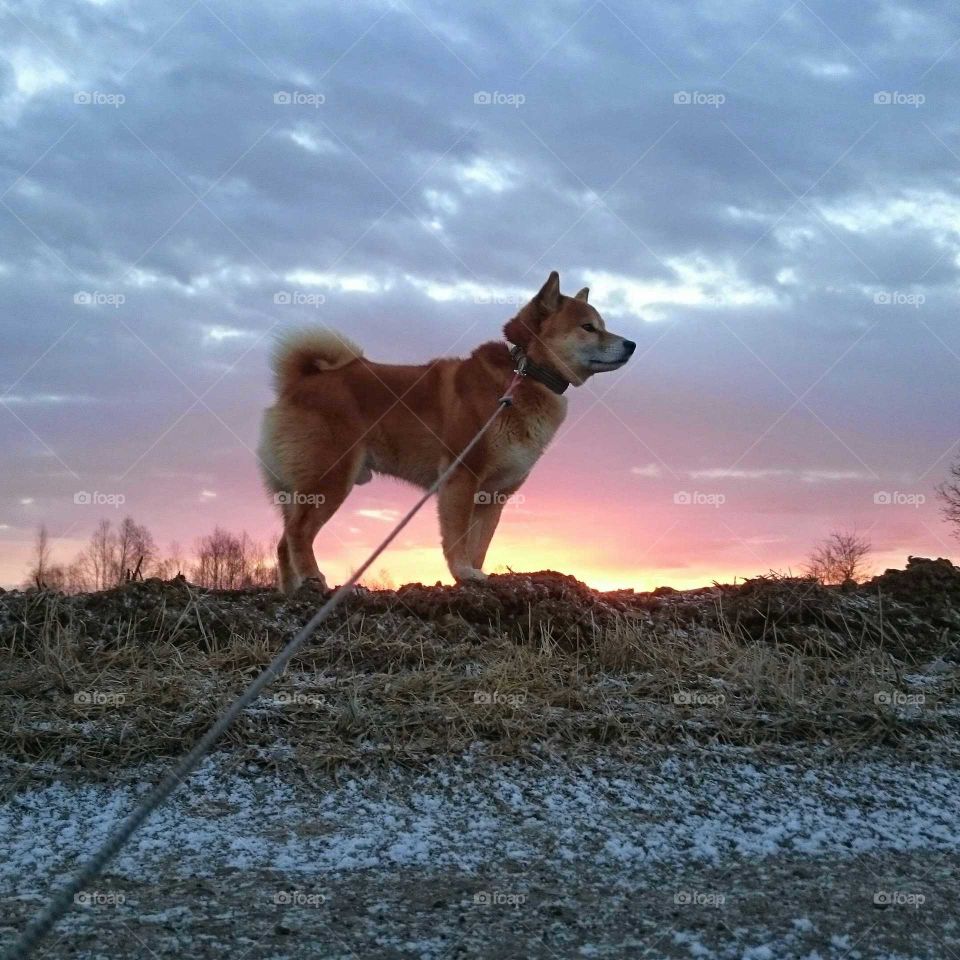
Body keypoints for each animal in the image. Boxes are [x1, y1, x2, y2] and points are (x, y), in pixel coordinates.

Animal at [260, 270, 636, 592]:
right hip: (331, 479)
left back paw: (292, 590)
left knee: (283, 542)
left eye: (603, 325)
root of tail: (300, 382)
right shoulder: (462, 477)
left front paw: (477, 574)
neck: (525, 374)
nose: (631, 343)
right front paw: (463, 573)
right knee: (298, 533)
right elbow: (457, 538)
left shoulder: (494, 495)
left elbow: (479, 544)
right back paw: (313, 578)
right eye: (588, 327)